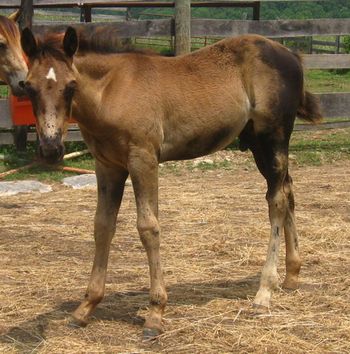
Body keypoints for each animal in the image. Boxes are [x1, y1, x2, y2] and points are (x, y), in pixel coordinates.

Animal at [19, 26, 320, 336]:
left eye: (70, 85)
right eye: (27, 86)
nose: (50, 149)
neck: (111, 91)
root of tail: (291, 54)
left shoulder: (143, 159)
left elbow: (148, 228)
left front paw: (155, 311)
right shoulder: (107, 166)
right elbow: (102, 226)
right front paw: (86, 307)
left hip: (272, 138)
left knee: (277, 200)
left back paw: (264, 292)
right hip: (260, 145)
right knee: (288, 191)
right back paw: (292, 275)